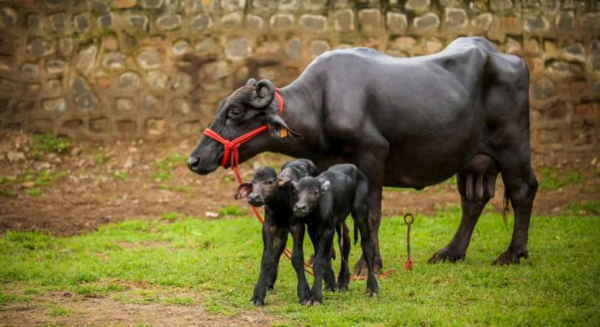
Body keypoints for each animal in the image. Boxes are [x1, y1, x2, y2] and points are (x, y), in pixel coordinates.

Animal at [189, 37, 540, 276]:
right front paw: (324, 258)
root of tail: (507, 57)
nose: (194, 160)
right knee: (473, 199)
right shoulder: (326, 166)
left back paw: (513, 253)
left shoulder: (373, 158)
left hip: (513, 144)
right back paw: (452, 252)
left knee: (523, 189)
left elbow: (370, 214)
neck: (321, 103)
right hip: (472, 160)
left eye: (235, 112)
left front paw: (367, 263)